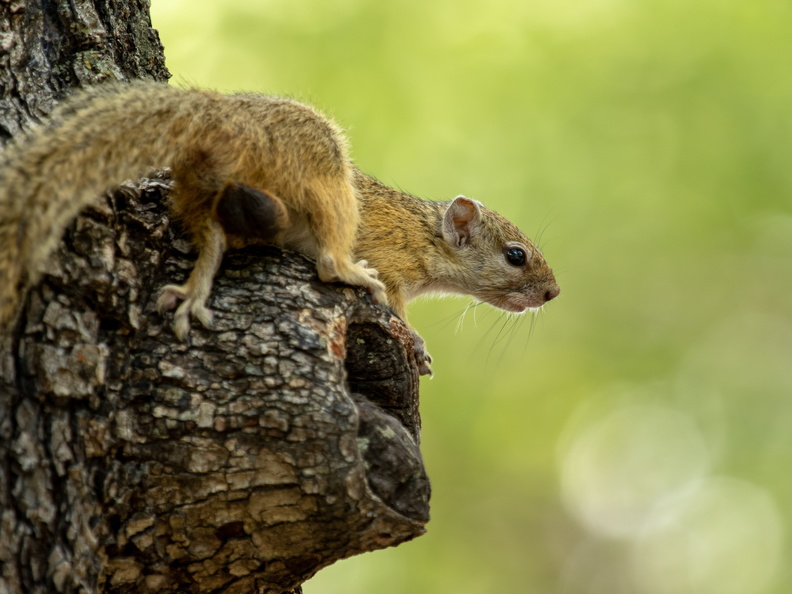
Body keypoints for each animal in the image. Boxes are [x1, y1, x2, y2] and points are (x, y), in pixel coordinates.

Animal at [0, 82, 559, 374]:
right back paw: (348, 272)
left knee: (214, 237)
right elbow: (397, 311)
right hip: (321, 172)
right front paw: (418, 346)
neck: (426, 235)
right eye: (515, 255)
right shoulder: (394, 266)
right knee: (329, 260)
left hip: (203, 191)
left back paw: (194, 293)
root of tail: (224, 119)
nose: (553, 293)